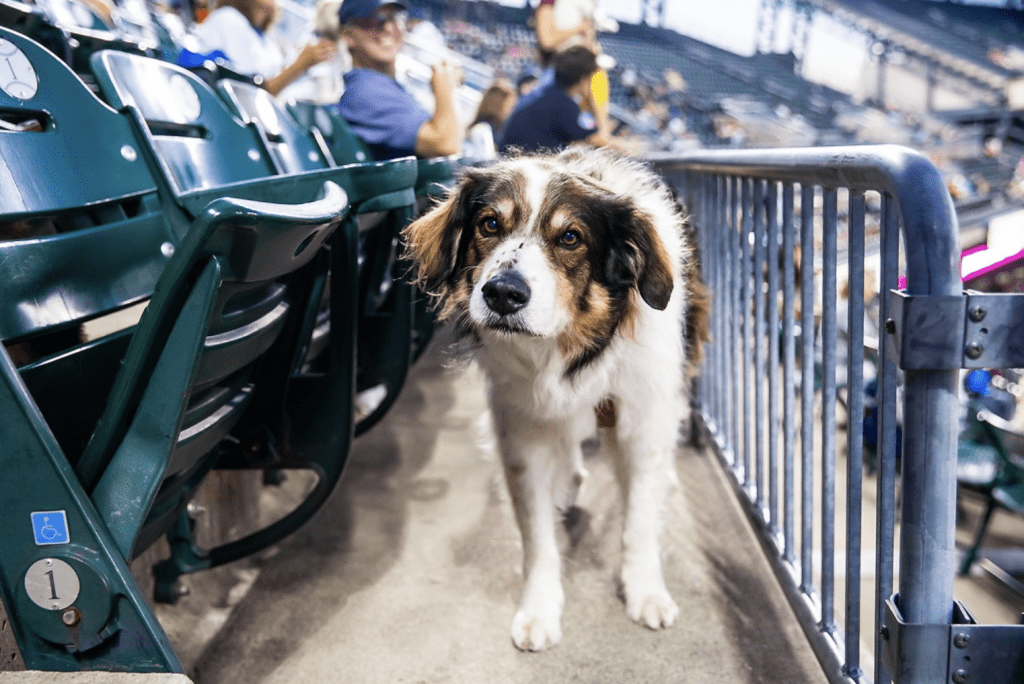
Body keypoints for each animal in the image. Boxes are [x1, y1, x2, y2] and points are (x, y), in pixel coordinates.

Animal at [399, 147, 704, 651]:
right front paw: (539, 609)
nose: (503, 293)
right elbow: (537, 534)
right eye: (489, 224)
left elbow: (639, 519)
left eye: (570, 237)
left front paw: (646, 591)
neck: (570, 348)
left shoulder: (641, 420)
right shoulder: (523, 431)